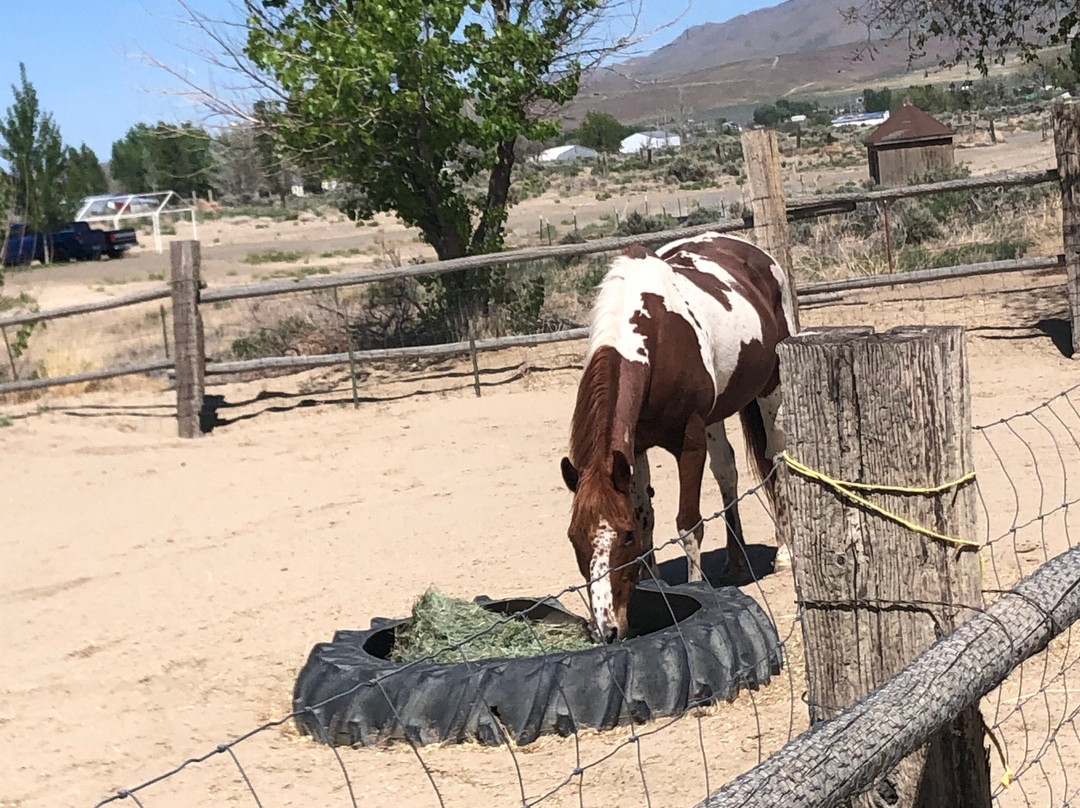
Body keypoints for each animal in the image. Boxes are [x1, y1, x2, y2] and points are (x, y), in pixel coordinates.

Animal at [560, 232, 796, 643]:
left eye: (622, 537)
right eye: (575, 537)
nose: (606, 630)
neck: (653, 340)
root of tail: (754, 253)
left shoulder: (689, 441)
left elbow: (688, 523)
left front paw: (694, 586)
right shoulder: (633, 449)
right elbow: (645, 515)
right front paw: (655, 585)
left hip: (771, 390)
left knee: (776, 461)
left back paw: (784, 553)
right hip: (716, 416)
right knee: (727, 471)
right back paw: (736, 562)